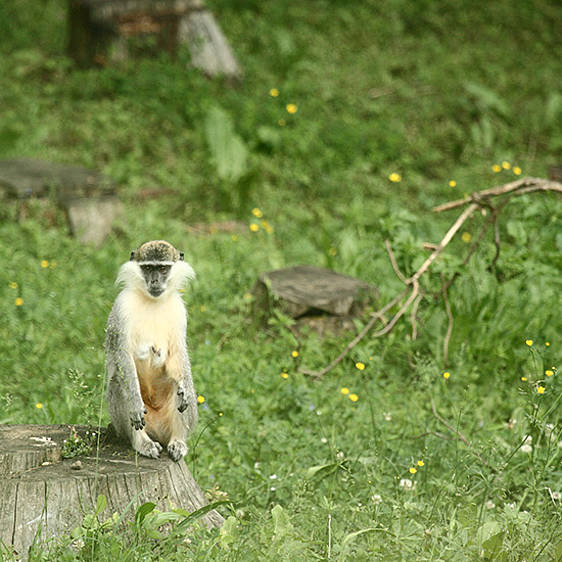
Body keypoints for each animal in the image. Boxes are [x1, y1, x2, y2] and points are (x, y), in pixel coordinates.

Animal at [105, 238, 197, 458]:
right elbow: (122, 355)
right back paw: (142, 442)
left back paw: (178, 441)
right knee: (118, 382)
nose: (155, 281)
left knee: (179, 390)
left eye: (163, 268)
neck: (152, 300)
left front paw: (185, 388)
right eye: (148, 268)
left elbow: (178, 354)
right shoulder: (121, 307)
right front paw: (135, 404)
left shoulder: (179, 309)